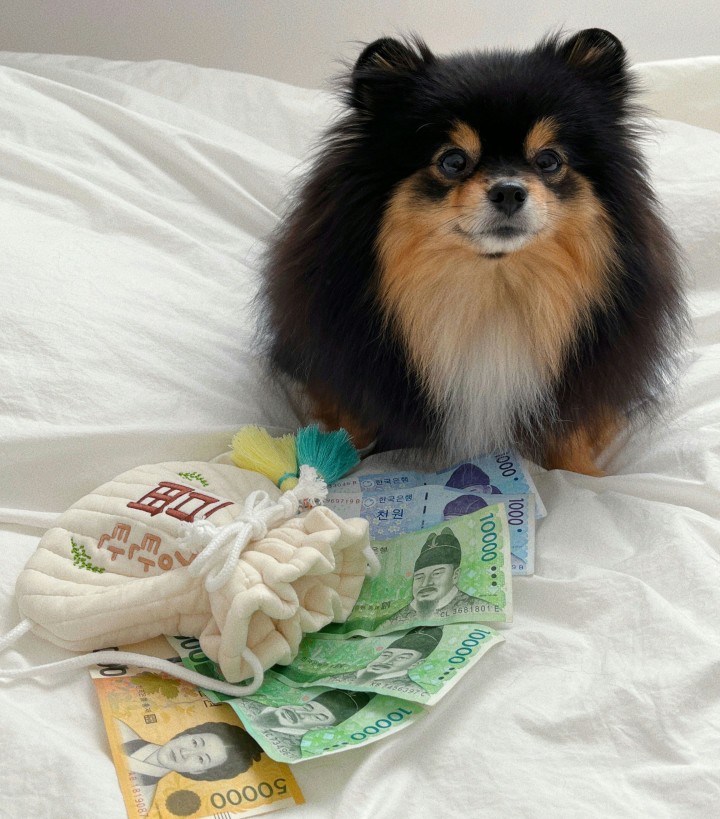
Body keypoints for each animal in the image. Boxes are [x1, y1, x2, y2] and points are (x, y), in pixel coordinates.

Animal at [259, 29, 687, 475]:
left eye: (549, 160)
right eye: (453, 161)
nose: (509, 190)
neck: (490, 288)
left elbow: (573, 432)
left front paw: (582, 475)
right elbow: (350, 417)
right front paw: (335, 462)